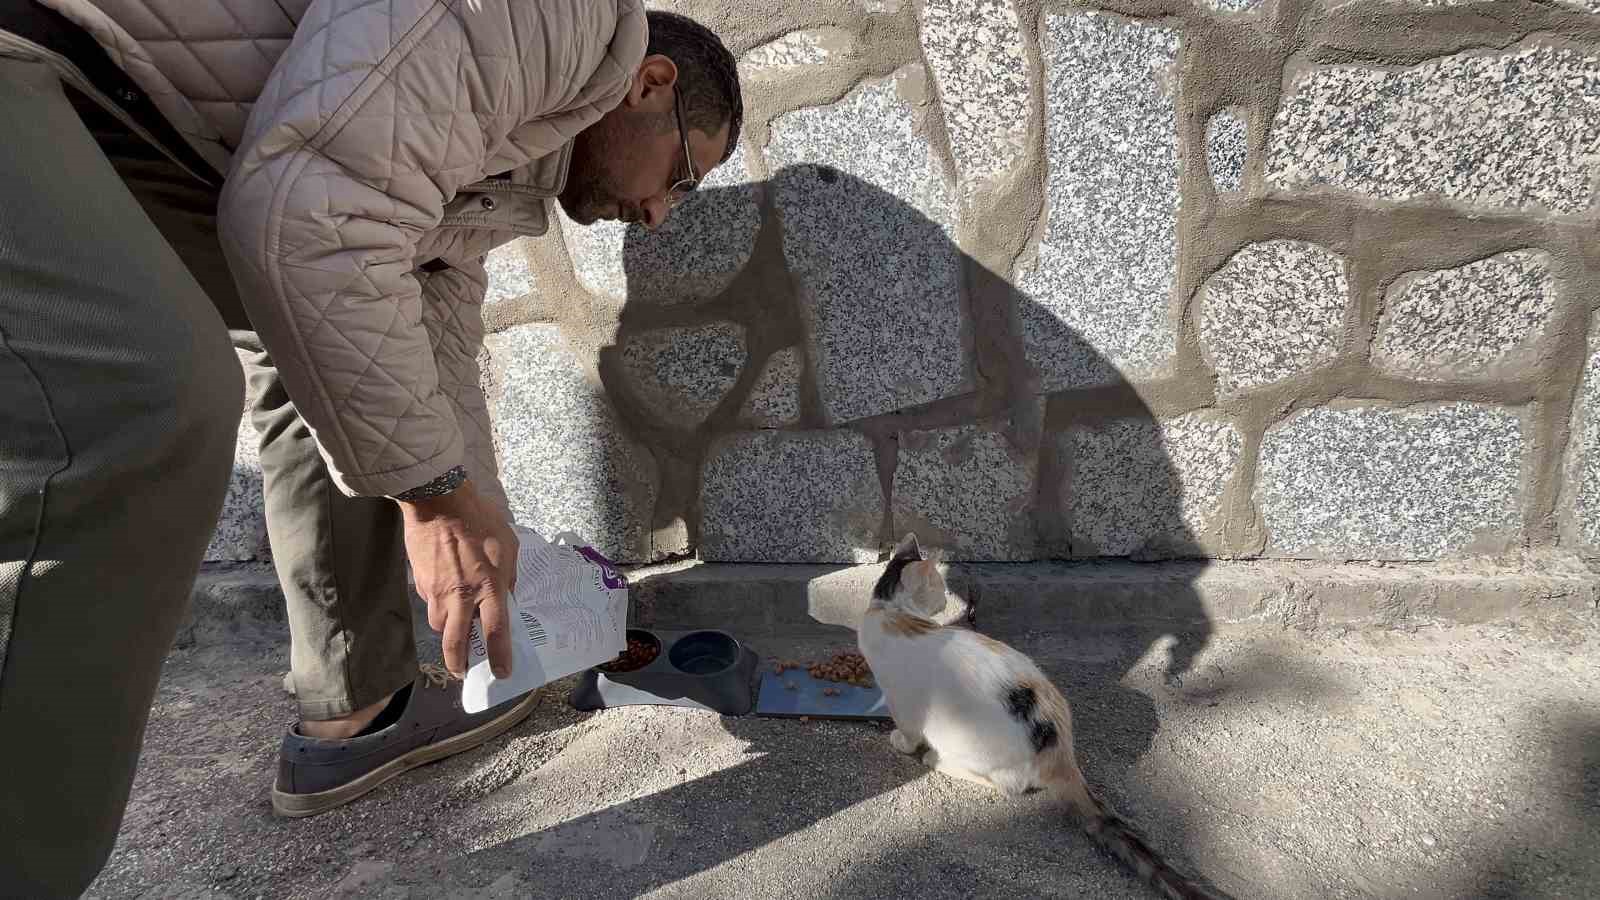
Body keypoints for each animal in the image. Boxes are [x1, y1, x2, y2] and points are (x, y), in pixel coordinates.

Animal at [857, 531, 1228, 896]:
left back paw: (935, 759)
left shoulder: (904, 701)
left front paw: (901, 742)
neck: (890, 611)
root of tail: (1061, 752)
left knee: (1007, 785)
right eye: (939, 586)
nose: (947, 599)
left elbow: (907, 730)